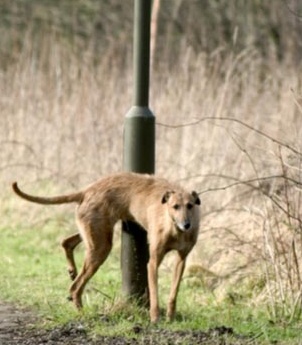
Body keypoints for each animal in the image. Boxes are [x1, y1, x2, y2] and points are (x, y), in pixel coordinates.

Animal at [12, 172, 201, 322]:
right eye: (175, 206)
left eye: (190, 205)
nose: (187, 225)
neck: (174, 228)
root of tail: (87, 190)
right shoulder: (153, 262)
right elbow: (154, 294)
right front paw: (155, 318)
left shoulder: (181, 260)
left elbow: (173, 293)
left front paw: (170, 316)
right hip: (100, 245)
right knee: (75, 287)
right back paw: (82, 313)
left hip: (94, 235)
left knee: (67, 242)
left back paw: (72, 272)